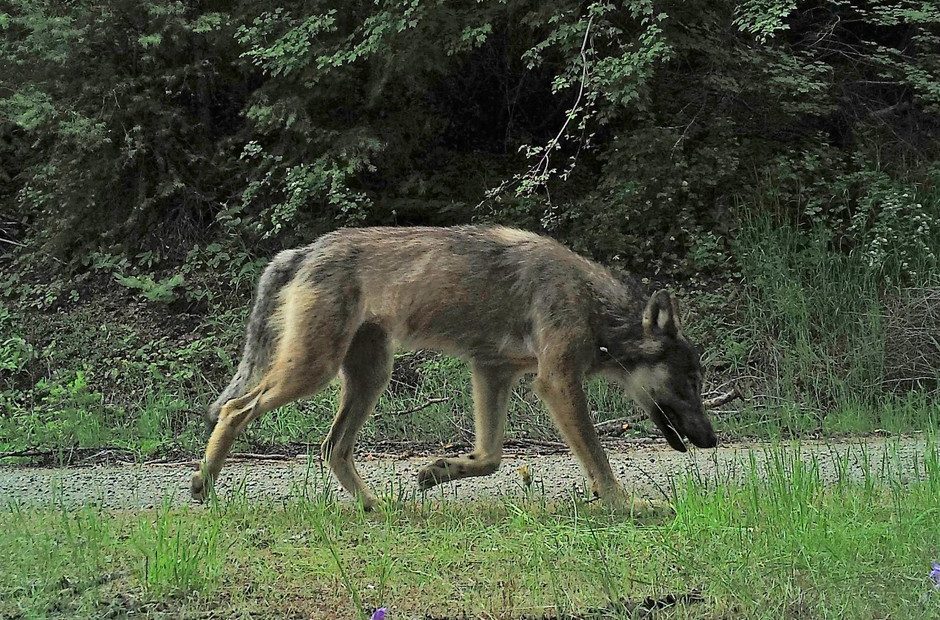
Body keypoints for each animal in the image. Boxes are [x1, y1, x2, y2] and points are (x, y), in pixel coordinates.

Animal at [193, 226, 720, 508]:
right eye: (690, 381)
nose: (713, 440)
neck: (593, 304)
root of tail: (303, 249)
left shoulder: (493, 372)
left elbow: (491, 458)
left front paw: (436, 471)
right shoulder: (555, 382)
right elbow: (599, 460)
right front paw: (626, 505)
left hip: (369, 377)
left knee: (332, 447)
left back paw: (374, 507)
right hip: (312, 372)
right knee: (234, 410)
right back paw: (202, 484)